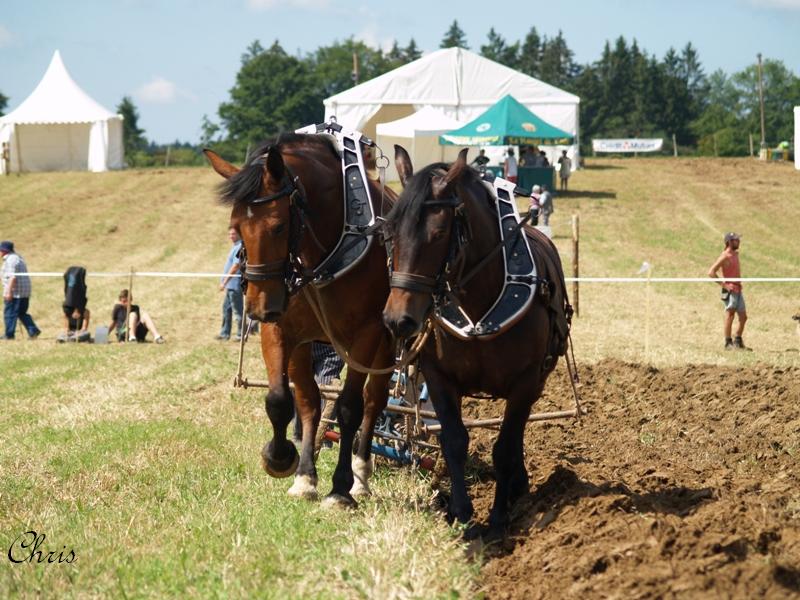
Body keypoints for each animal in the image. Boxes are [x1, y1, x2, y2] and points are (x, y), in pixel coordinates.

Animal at [205, 134, 396, 504]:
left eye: (278, 226)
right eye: (236, 228)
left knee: (373, 400)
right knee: (311, 401)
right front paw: (286, 462)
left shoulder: (367, 333)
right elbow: (286, 400)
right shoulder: (282, 329)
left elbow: (349, 408)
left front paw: (340, 488)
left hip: (389, 341)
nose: (256, 307)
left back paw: (361, 475)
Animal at [384, 146, 572, 540]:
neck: (481, 306)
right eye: (388, 230)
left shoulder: (524, 383)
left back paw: (518, 487)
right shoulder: (439, 378)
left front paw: (499, 517)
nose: (398, 320)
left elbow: (504, 448)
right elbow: (454, 441)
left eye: (439, 232)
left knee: (516, 436)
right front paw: (462, 514)